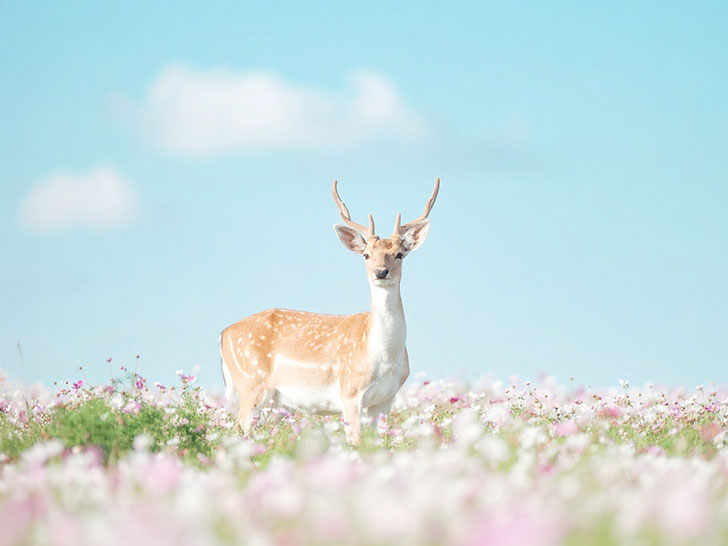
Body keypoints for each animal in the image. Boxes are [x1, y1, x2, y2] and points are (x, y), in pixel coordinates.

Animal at [219, 178, 439, 444]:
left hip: (273, 402)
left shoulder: (386, 399)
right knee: (237, 428)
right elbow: (355, 442)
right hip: (250, 382)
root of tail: (223, 334)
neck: (383, 356)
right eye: (366, 255)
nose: (380, 271)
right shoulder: (350, 391)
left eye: (399, 254)